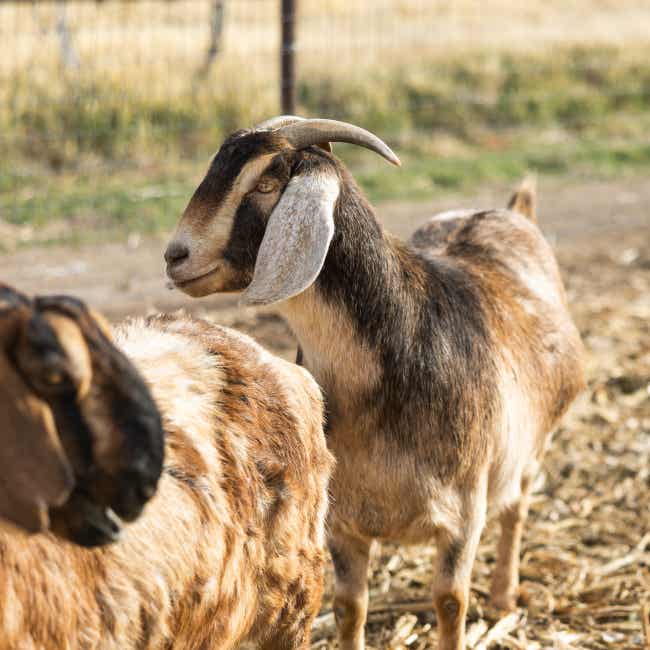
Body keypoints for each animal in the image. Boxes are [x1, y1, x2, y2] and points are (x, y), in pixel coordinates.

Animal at [164, 116, 585, 650]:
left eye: (265, 184)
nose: (175, 256)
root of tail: (511, 213)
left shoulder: (464, 514)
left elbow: (450, 602)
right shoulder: (342, 521)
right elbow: (349, 606)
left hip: (531, 446)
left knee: (517, 507)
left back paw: (504, 596)